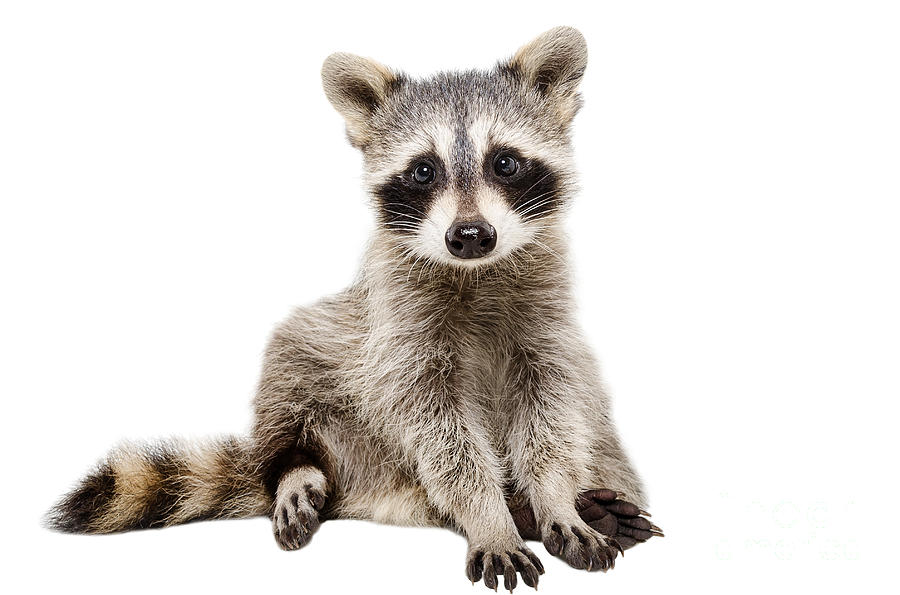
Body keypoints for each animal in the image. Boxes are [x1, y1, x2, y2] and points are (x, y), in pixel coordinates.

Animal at [47, 25, 660, 588]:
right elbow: (439, 434)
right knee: (293, 364)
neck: (474, 273)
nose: (469, 236)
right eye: (424, 170)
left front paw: (553, 497)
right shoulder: (397, 329)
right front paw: (488, 515)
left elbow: (553, 410)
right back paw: (300, 470)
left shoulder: (547, 323)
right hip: (340, 393)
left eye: (505, 163)